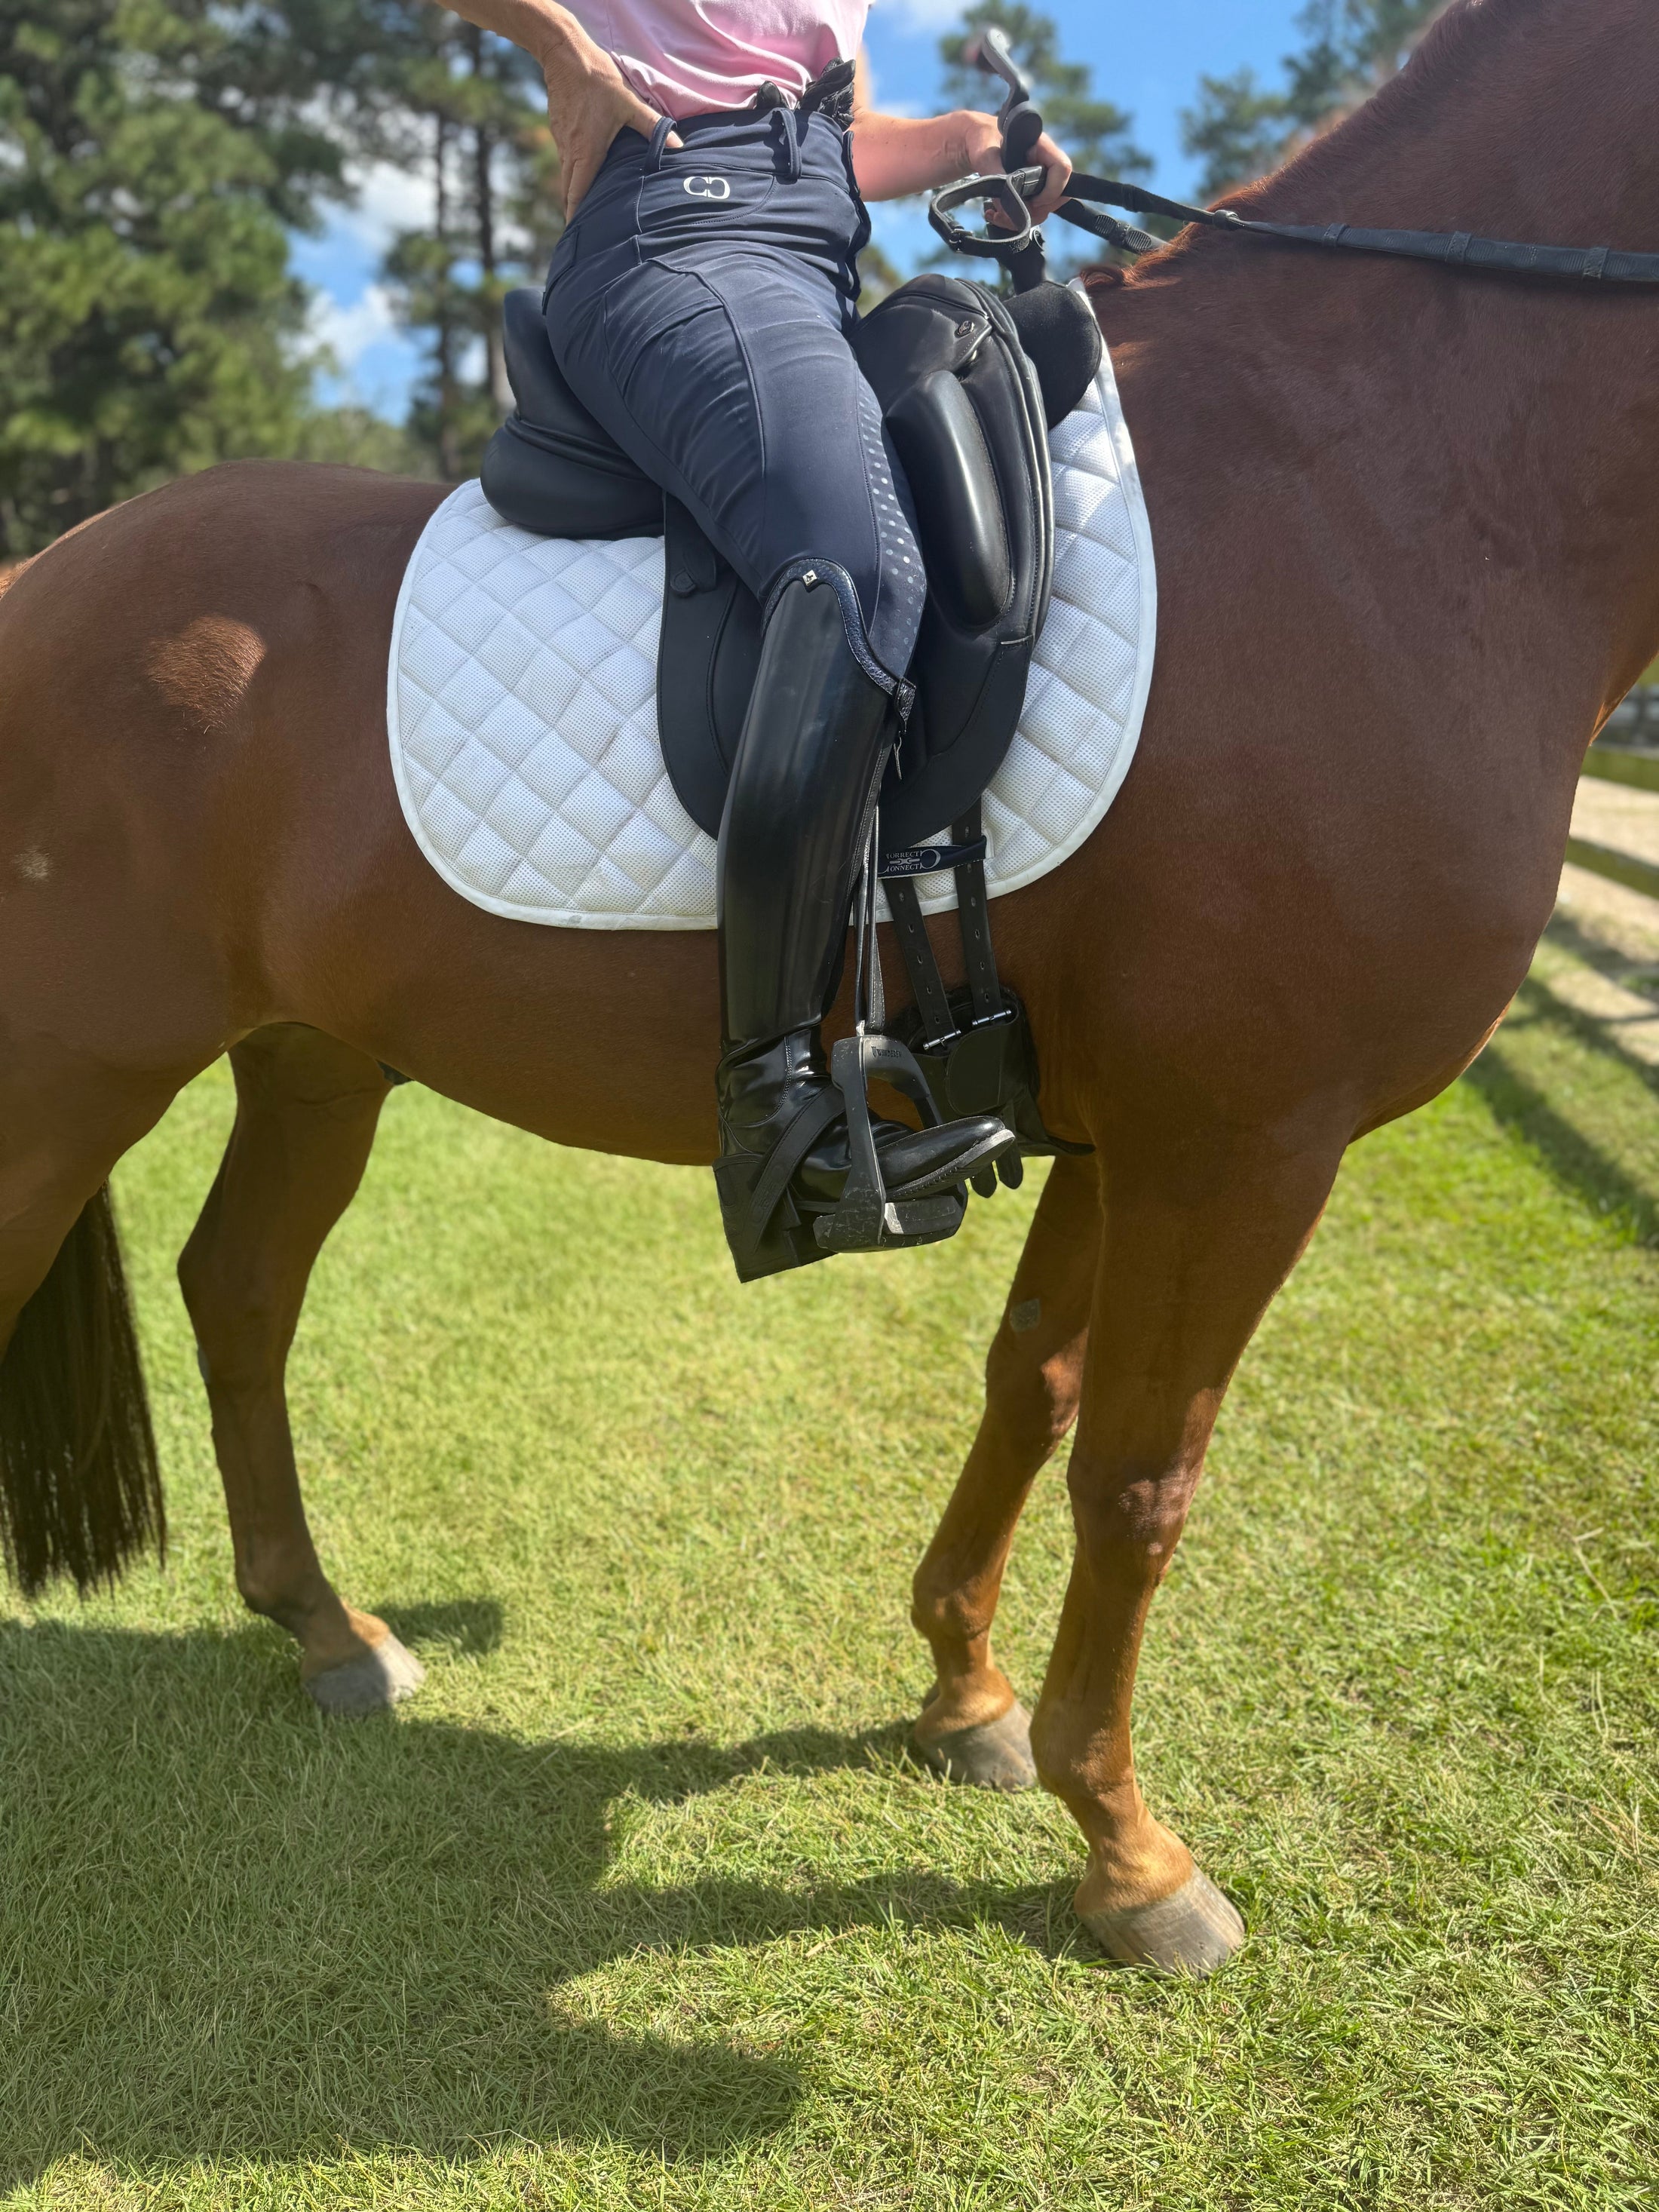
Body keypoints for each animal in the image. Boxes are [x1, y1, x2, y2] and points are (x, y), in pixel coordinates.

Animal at [0, 0, 1652, 1976]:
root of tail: (41, 579)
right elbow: (1142, 1475)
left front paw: (966, 1698)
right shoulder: (1244, 1138)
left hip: (310, 1056)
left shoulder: (1114, 1125)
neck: (1376, 484)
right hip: (68, 1070)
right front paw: (1130, 1856)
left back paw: (333, 1634)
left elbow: (1038, 1382)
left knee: (240, 1290)